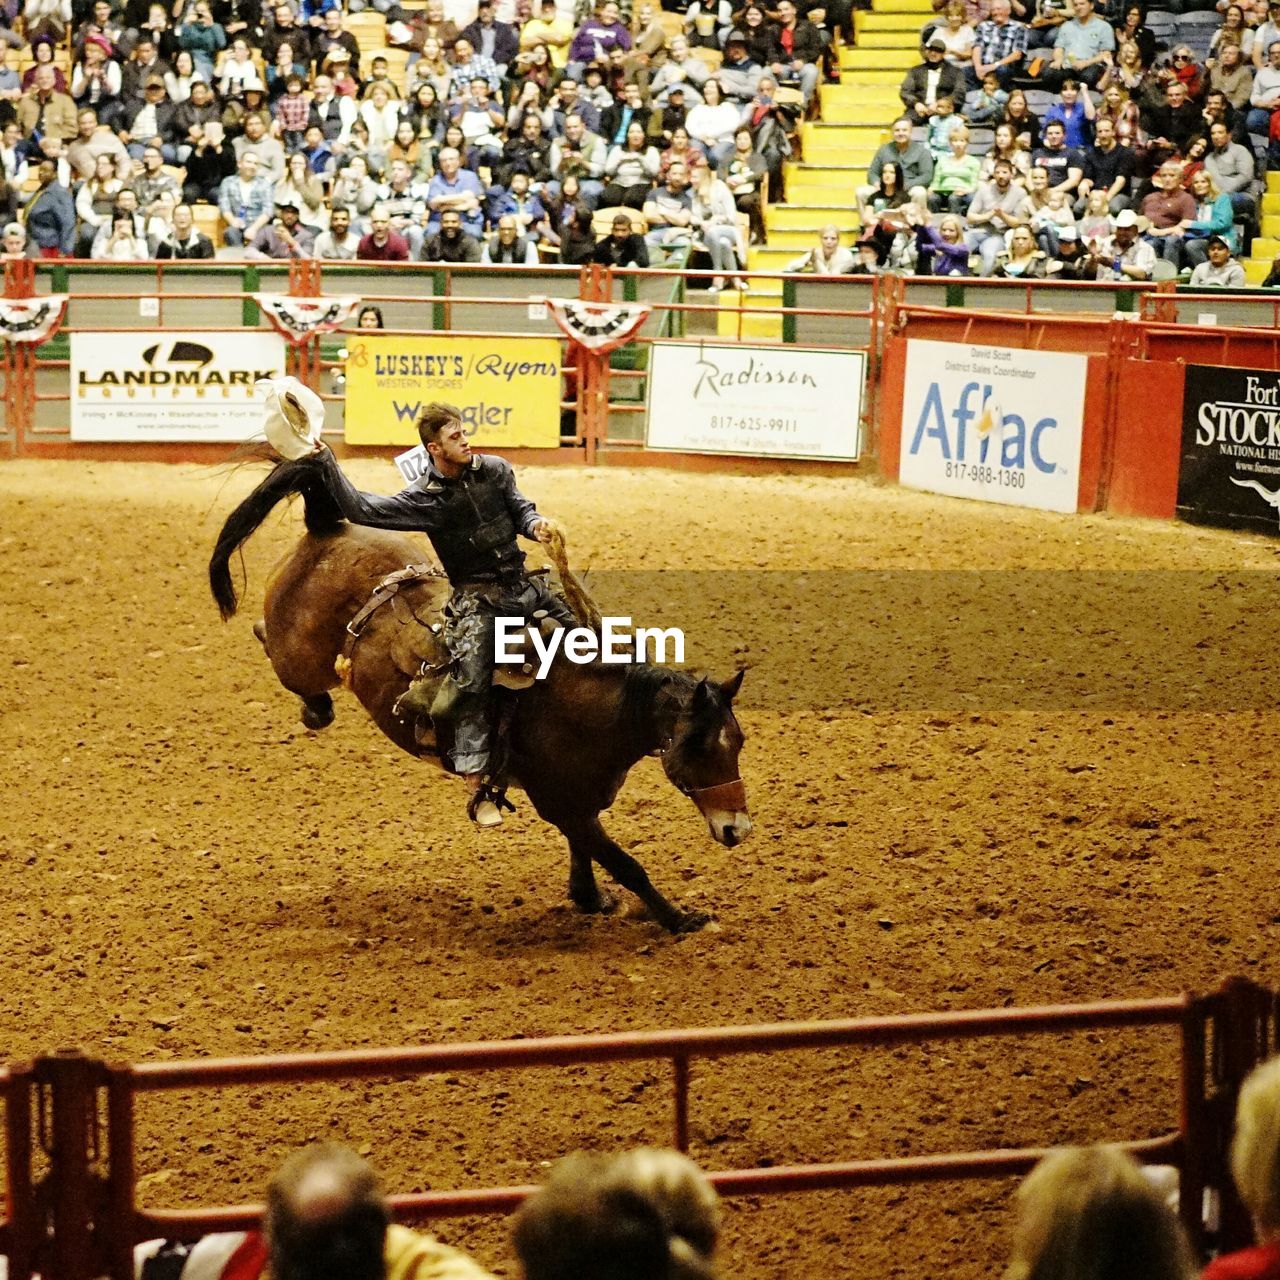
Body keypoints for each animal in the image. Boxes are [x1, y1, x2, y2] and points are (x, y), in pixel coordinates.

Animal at [206, 458, 747, 931]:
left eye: (738, 742)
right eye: (698, 745)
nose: (738, 830)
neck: (595, 707)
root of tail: (326, 523)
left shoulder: (578, 802)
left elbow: (585, 851)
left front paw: (589, 898)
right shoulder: (561, 802)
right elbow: (625, 863)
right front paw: (680, 919)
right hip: (296, 656)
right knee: (275, 648)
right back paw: (314, 707)